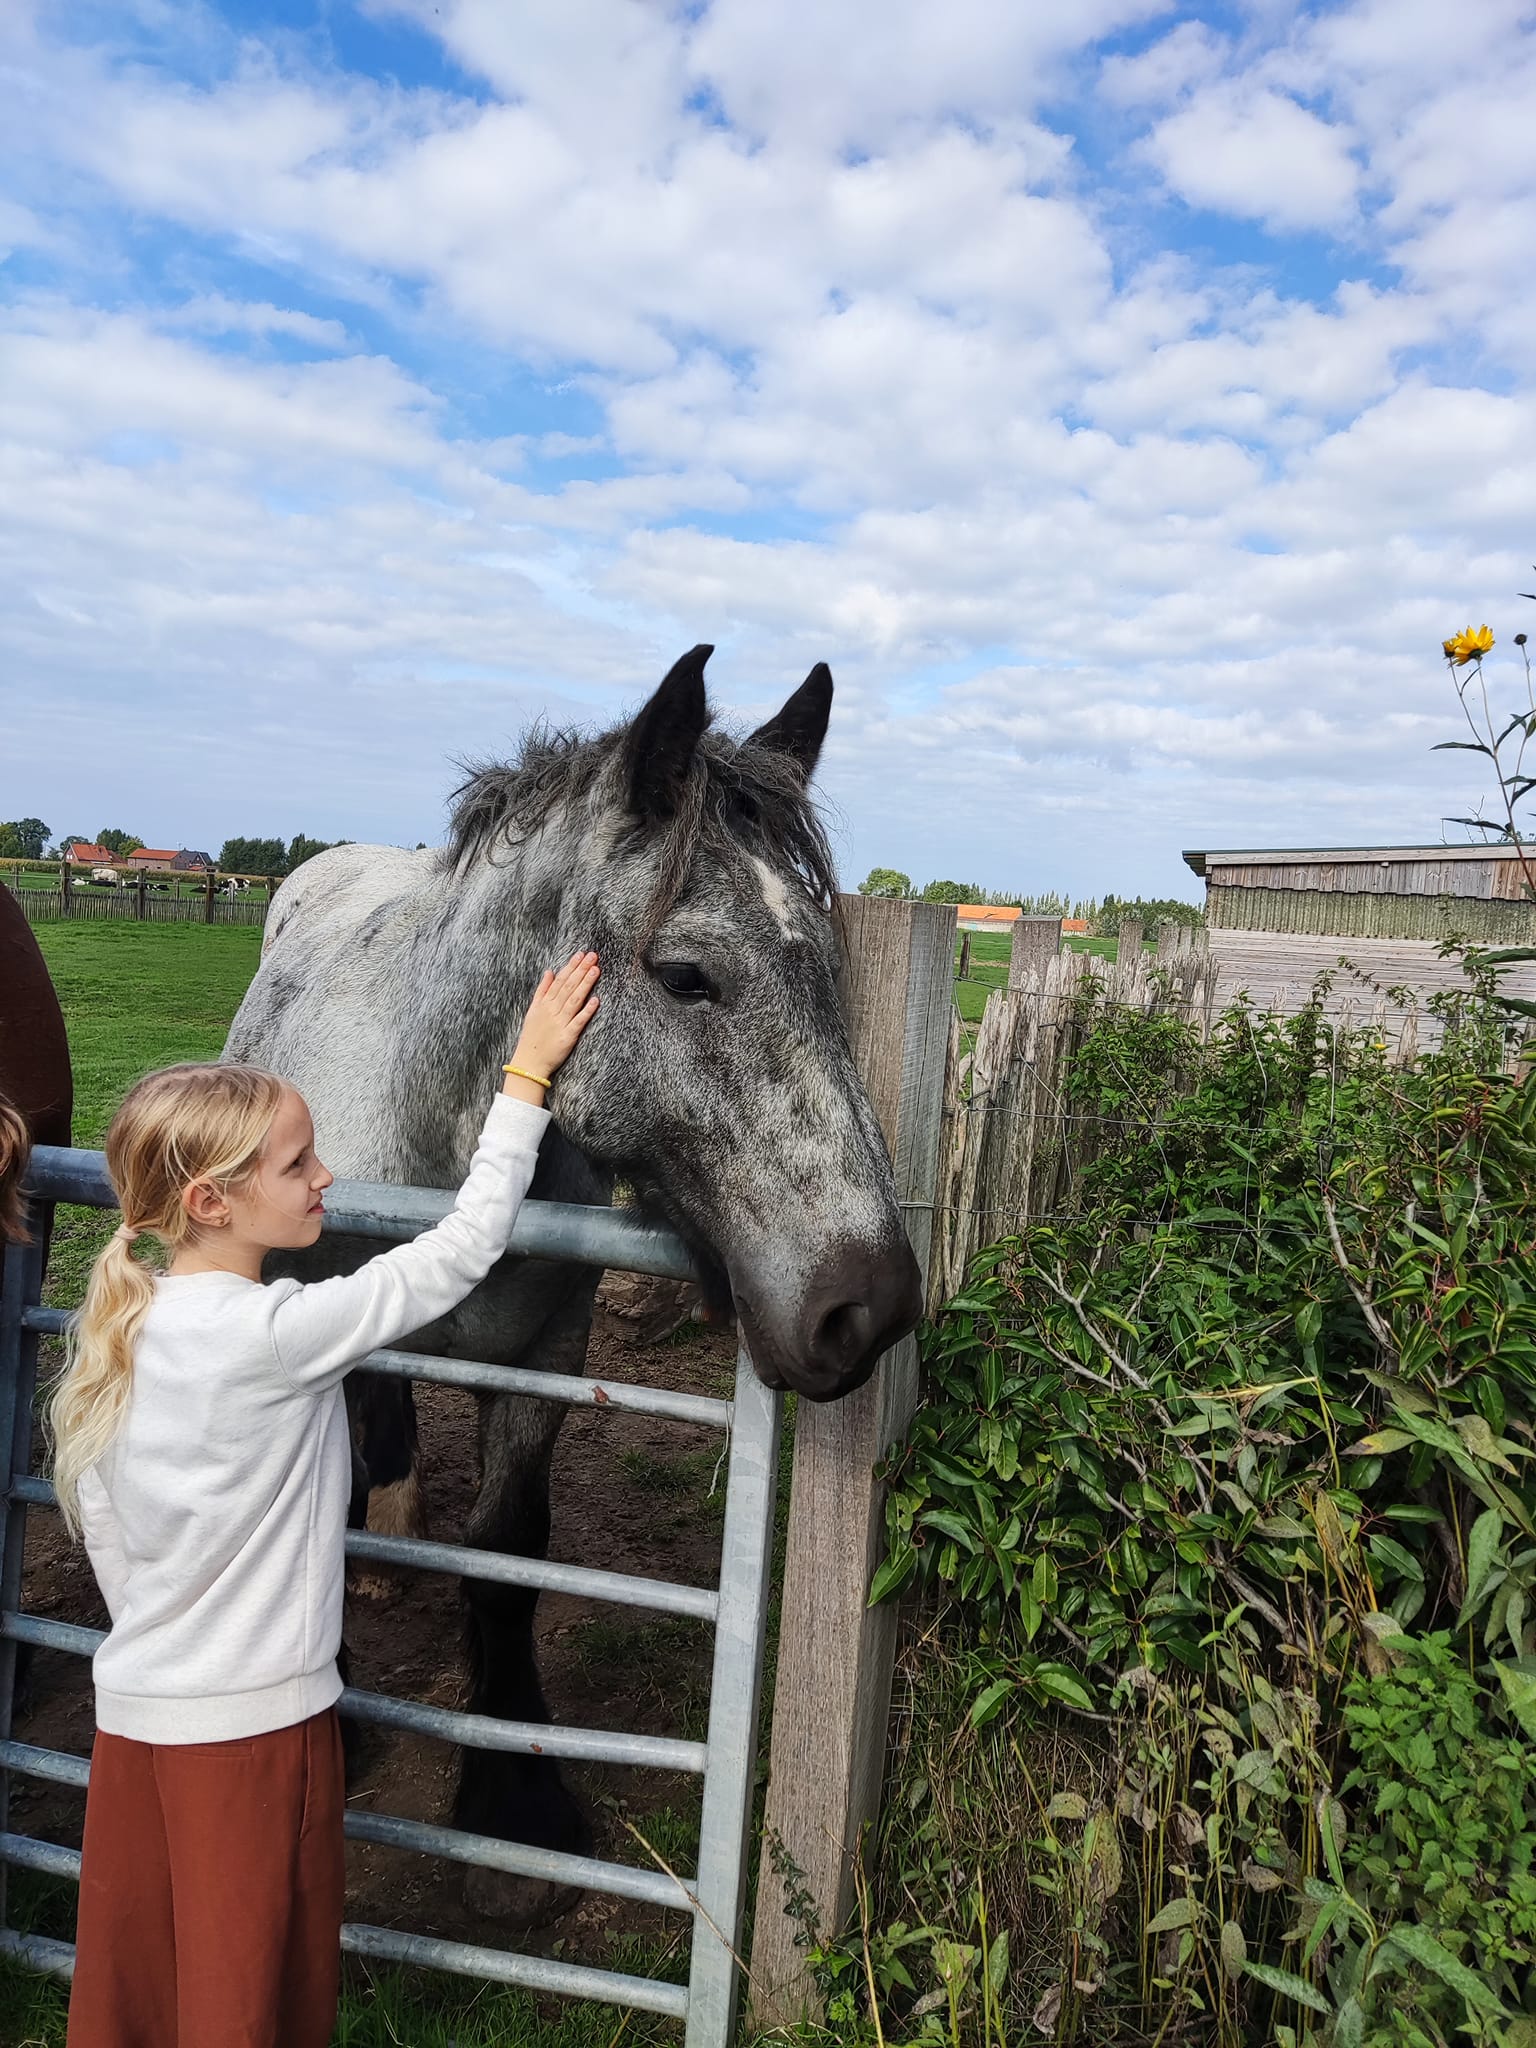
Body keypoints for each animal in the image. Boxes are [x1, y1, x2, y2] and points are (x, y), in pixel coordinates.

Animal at [222, 638, 921, 1916]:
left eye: (831, 979)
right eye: (687, 974)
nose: (872, 1304)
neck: (440, 1125)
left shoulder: (547, 1358)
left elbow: (508, 1555)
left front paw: (513, 1800)